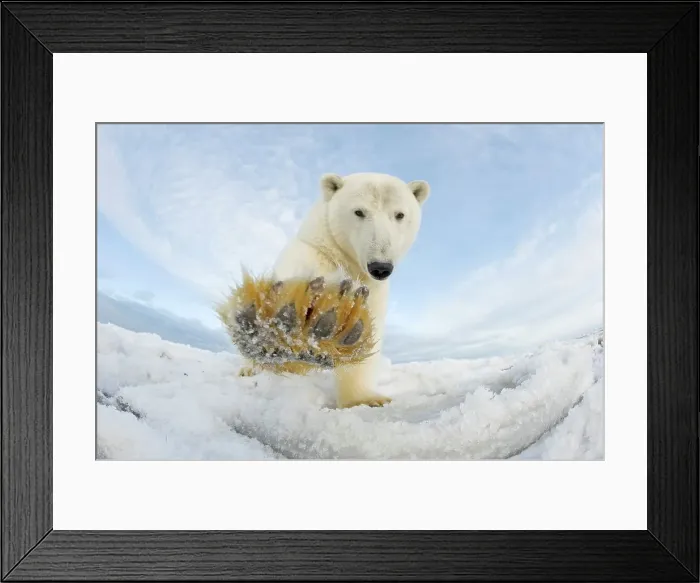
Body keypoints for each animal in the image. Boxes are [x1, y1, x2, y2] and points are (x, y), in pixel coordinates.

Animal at [239, 172, 430, 409]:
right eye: (359, 211)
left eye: (399, 214)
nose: (380, 267)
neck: (344, 260)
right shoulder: (309, 262)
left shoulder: (371, 288)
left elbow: (362, 330)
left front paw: (365, 399)